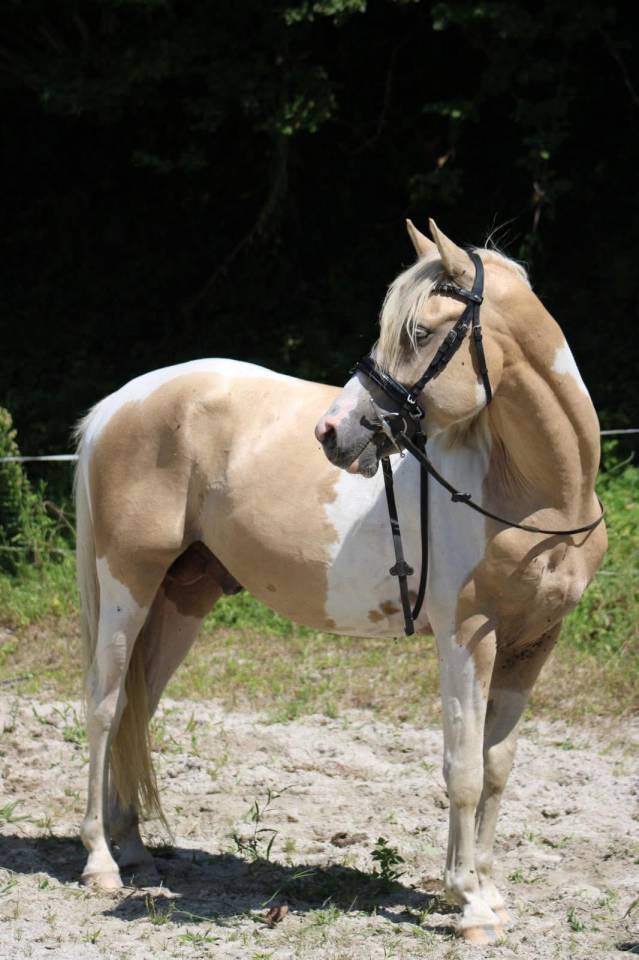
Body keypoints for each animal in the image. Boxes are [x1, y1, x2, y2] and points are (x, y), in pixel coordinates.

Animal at [74, 219, 606, 944]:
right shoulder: (467, 637)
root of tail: (118, 404)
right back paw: (100, 863)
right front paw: (467, 901)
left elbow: (496, 767)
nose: (331, 430)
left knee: (137, 707)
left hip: (181, 598)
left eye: (419, 333)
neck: (531, 491)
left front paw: (486, 894)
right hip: (127, 583)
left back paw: (134, 851)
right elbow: (463, 768)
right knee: (104, 706)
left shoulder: (533, 643)